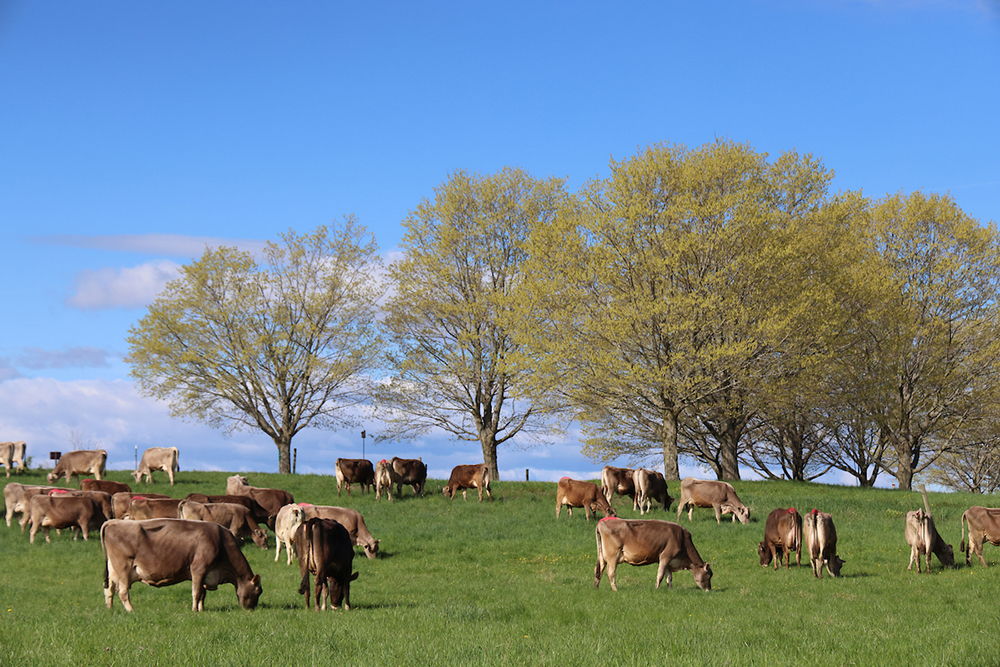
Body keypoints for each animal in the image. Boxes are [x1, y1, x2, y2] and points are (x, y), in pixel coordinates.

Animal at [101, 518, 263, 612]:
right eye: (258, 591)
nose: (252, 609)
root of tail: (112, 521)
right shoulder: (198, 568)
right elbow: (196, 592)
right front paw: (194, 610)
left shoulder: (206, 574)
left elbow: (202, 593)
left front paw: (201, 610)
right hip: (123, 568)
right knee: (122, 591)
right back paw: (132, 610)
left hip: (112, 569)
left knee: (109, 589)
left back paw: (110, 609)